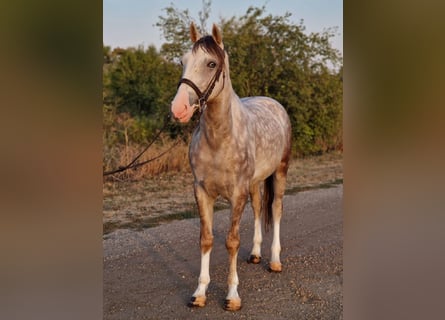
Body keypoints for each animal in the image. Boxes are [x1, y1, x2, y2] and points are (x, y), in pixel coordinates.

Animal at [170, 21, 292, 310]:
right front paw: (200, 292)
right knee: (259, 208)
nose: (178, 109)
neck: (219, 139)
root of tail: (274, 104)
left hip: (280, 171)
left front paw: (232, 295)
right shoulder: (202, 192)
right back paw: (257, 253)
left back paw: (274, 260)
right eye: (182, 61)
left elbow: (232, 241)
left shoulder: (237, 194)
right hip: (256, 182)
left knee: (276, 209)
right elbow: (206, 239)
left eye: (211, 63)